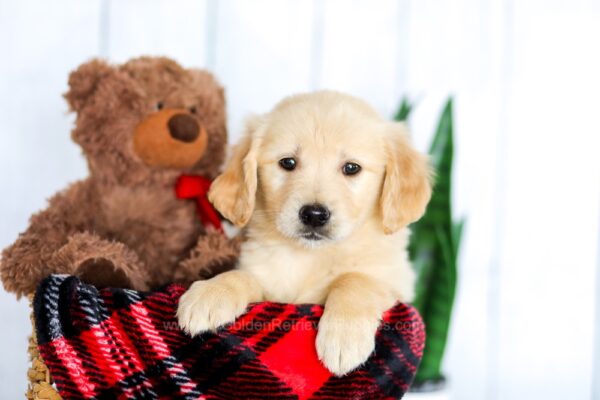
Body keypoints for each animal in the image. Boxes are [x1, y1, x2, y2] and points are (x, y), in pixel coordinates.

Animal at [177, 90, 432, 376]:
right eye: (288, 162)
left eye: (351, 168)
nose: (314, 215)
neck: (310, 256)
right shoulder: (267, 283)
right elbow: (242, 276)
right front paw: (211, 293)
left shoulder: (397, 282)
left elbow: (355, 279)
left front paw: (345, 335)